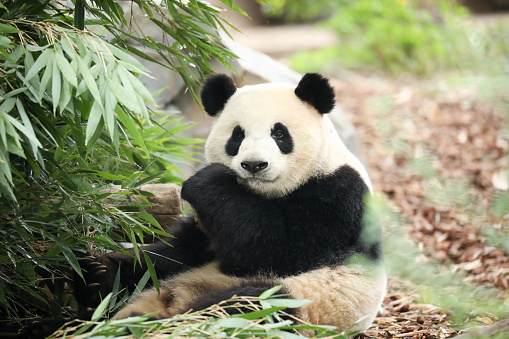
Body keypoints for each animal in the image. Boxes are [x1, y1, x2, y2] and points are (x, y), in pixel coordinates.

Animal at [74, 73, 384, 336]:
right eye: (237, 135)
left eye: (279, 134)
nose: (254, 165)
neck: (260, 194)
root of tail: (175, 297)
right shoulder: (205, 227)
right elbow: (176, 251)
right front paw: (99, 269)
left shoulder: (340, 198)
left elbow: (276, 248)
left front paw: (207, 180)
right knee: (148, 273)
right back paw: (97, 278)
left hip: (303, 301)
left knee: (248, 305)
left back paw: (148, 324)